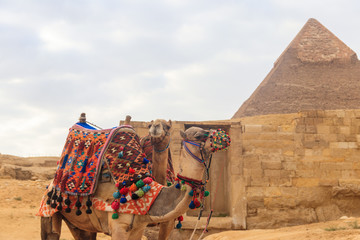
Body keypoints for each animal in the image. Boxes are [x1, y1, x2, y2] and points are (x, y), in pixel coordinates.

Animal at [40, 124, 231, 239]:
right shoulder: (118, 226)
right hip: (47, 211)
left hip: (80, 224)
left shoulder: (138, 228)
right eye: (199, 135)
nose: (224, 136)